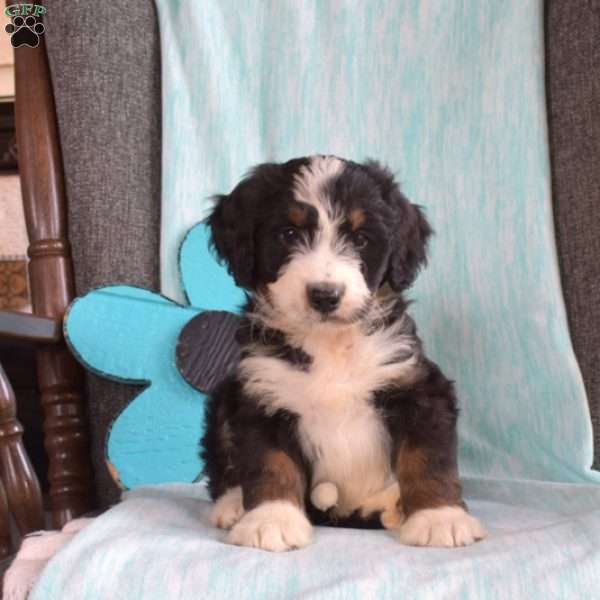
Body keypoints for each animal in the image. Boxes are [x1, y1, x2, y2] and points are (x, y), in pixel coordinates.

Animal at [199, 156, 486, 552]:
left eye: (361, 239)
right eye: (289, 234)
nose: (324, 295)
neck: (329, 342)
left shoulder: (417, 386)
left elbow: (427, 458)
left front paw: (439, 517)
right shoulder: (262, 394)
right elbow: (270, 463)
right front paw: (271, 520)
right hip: (224, 398)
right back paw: (233, 506)